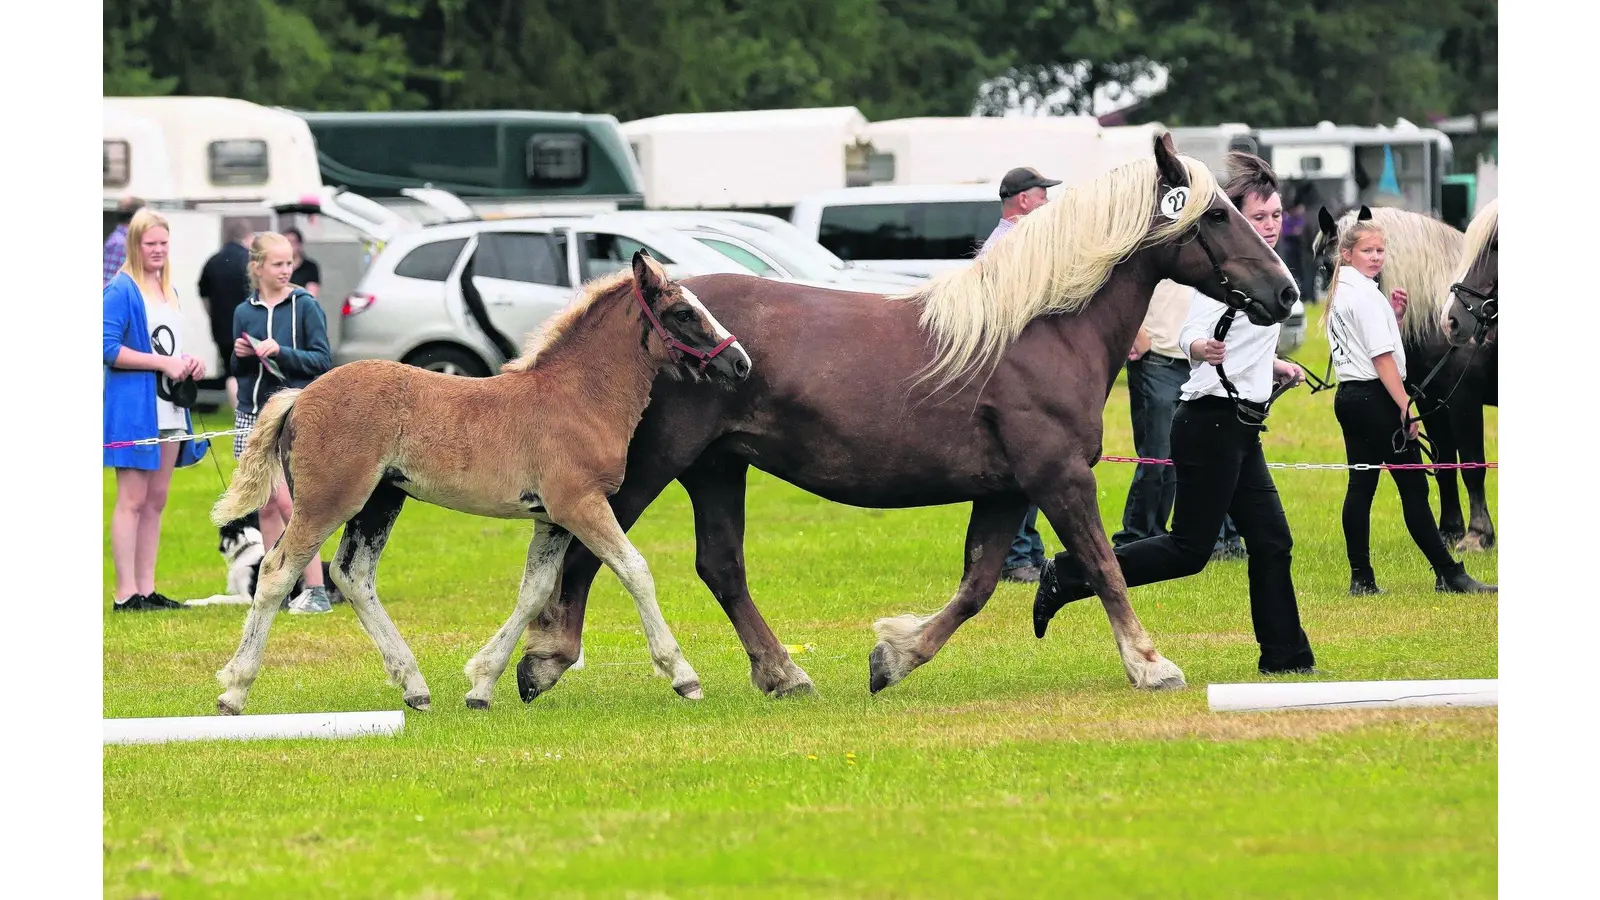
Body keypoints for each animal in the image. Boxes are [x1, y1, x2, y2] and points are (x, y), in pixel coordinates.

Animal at [206, 248, 748, 711]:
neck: (577, 396)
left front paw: (483, 685)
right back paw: (235, 690)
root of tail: (301, 395)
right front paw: (683, 675)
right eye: (682, 312)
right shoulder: (581, 505)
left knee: (353, 576)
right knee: (277, 573)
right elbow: (635, 570)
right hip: (328, 502)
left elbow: (534, 591)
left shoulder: (551, 519)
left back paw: (414, 686)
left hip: (379, 502)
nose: (740, 361)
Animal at [512, 131, 1299, 695]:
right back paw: (547, 659)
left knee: (721, 567)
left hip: (715, 468)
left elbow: (978, 586)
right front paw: (1149, 664)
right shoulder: (1059, 477)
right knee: (587, 549)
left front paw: (894, 656)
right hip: (652, 467)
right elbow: (1104, 565)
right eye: (1219, 215)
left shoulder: (1007, 489)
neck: (1040, 330)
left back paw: (782, 673)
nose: (1287, 292)